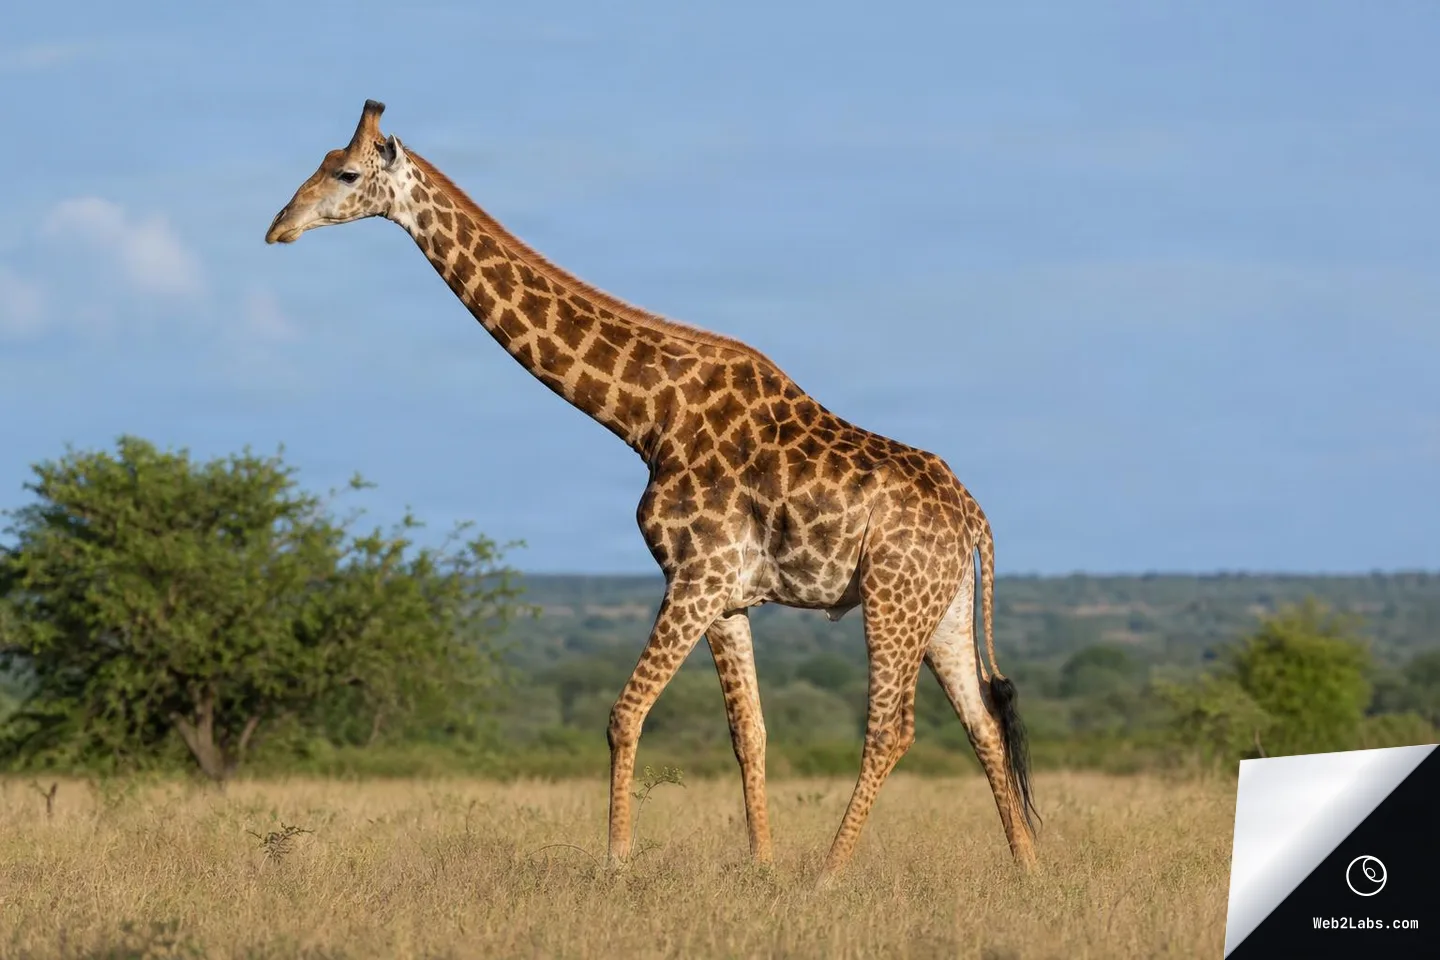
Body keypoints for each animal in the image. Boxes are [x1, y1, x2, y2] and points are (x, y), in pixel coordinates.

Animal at [265, 100, 1041, 886]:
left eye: (346, 172)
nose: (278, 227)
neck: (647, 415)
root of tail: (974, 517)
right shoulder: (726, 593)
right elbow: (749, 731)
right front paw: (760, 865)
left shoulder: (696, 573)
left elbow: (624, 712)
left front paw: (616, 861)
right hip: (941, 608)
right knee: (982, 721)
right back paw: (1027, 869)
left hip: (891, 599)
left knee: (892, 728)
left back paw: (829, 874)